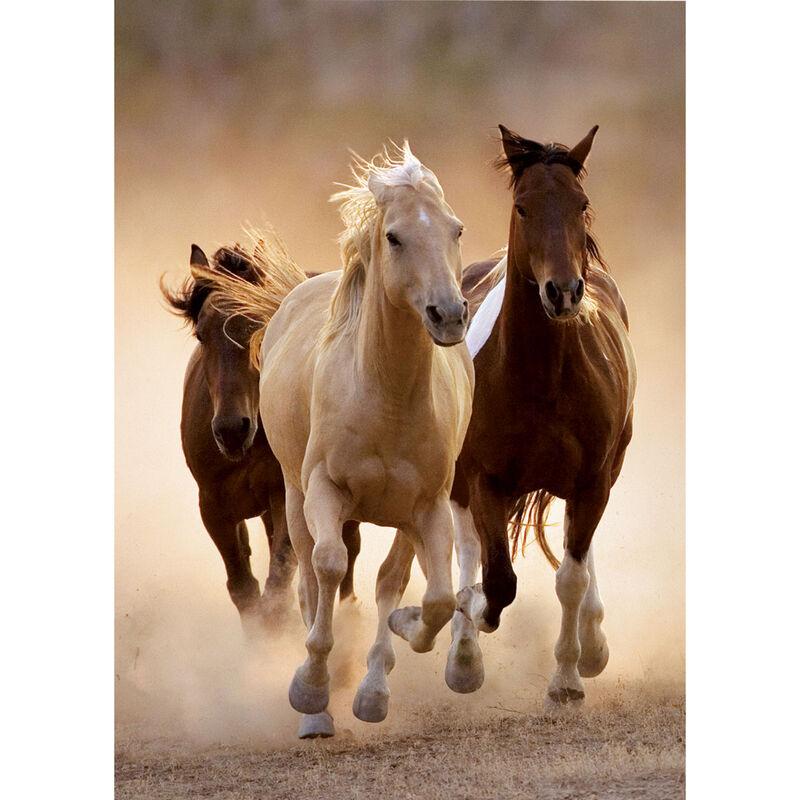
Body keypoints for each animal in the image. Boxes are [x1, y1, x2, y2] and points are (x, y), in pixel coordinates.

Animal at [160, 243, 362, 641]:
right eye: (201, 335)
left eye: (258, 326)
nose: (231, 429)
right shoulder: (214, 506)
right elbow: (244, 588)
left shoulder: (284, 496)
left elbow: (278, 583)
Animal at [194, 144, 474, 738]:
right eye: (394, 236)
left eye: (456, 229)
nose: (448, 314)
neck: (385, 396)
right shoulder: (323, 492)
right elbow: (325, 568)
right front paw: (311, 689)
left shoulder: (428, 506)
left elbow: (432, 598)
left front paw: (394, 652)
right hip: (293, 498)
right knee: (308, 576)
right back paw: (318, 708)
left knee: (391, 579)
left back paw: (372, 686)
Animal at [448, 125, 637, 709]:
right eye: (523, 206)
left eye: (582, 204)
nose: (564, 291)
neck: (544, 377)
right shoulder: (486, 479)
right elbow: (497, 580)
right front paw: (473, 619)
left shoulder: (592, 480)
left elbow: (570, 578)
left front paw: (569, 679)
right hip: (459, 478)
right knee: (466, 546)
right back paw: (462, 653)